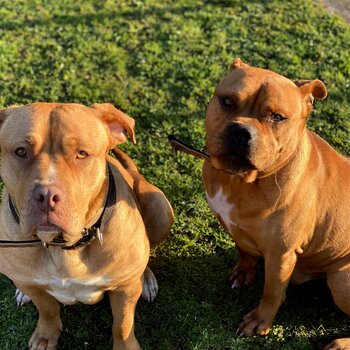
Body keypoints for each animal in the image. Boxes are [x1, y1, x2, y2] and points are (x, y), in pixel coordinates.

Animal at [0, 102, 174, 348]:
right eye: (21, 151)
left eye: (81, 154)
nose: (47, 195)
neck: (63, 247)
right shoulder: (36, 289)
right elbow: (47, 310)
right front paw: (46, 336)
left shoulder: (125, 290)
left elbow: (122, 325)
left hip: (160, 209)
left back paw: (146, 278)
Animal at [202, 58, 350, 348]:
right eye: (228, 101)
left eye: (277, 117)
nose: (241, 131)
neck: (241, 181)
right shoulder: (235, 226)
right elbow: (244, 250)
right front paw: (244, 272)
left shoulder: (281, 254)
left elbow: (271, 291)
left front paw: (260, 322)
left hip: (342, 279)